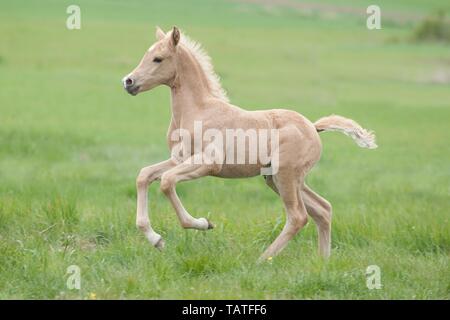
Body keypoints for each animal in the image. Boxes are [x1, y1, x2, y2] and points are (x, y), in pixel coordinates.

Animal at [122, 26, 376, 262]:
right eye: (146, 54)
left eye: (158, 58)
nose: (128, 82)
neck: (197, 110)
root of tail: (313, 127)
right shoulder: (179, 159)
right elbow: (144, 175)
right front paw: (156, 240)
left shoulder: (208, 163)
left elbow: (166, 182)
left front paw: (204, 223)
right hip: (280, 179)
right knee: (323, 209)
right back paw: (322, 262)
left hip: (286, 176)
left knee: (298, 217)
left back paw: (263, 261)